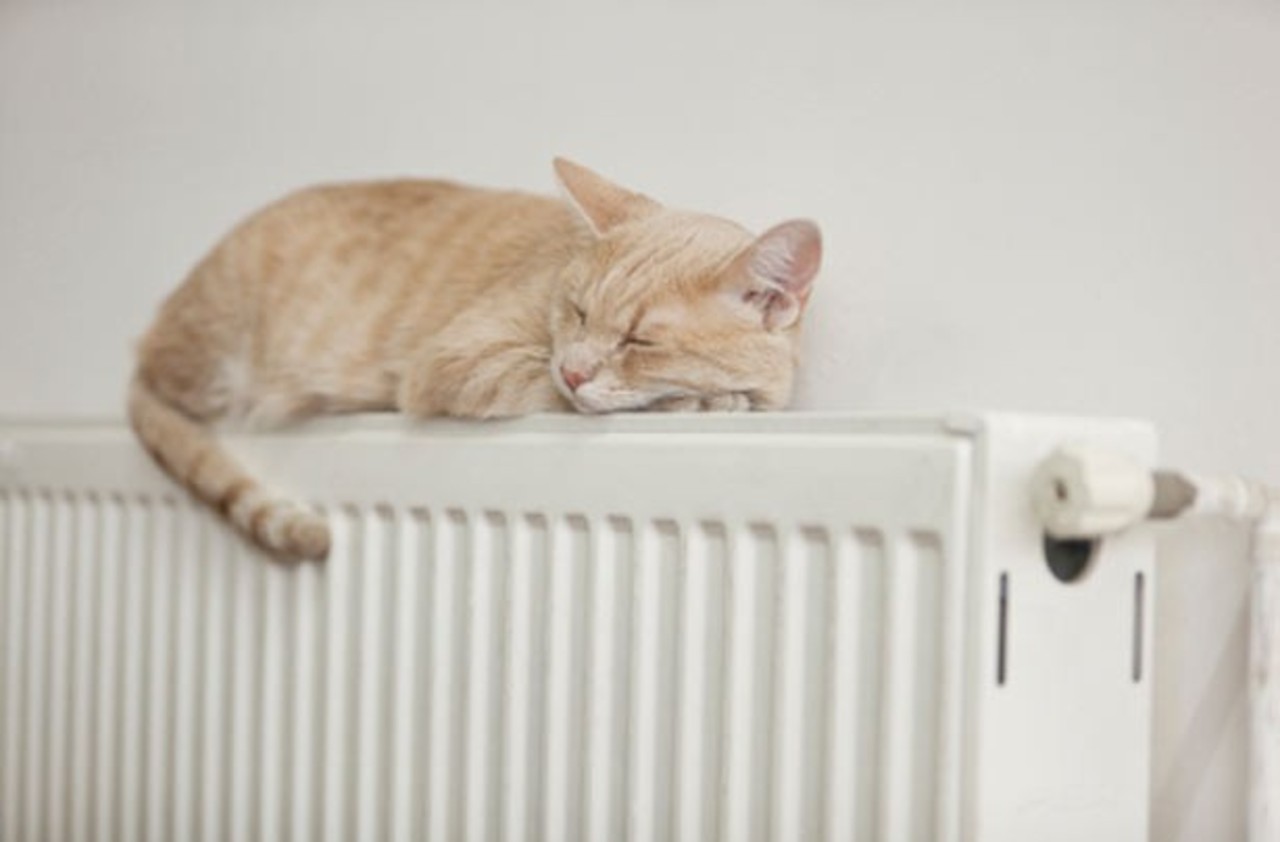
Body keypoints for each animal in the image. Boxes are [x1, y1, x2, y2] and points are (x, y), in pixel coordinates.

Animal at [129, 160, 824, 560]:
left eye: (639, 341)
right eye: (577, 311)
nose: (574, 368)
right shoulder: (458, 361)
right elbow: (560, 394)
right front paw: (706, 398)